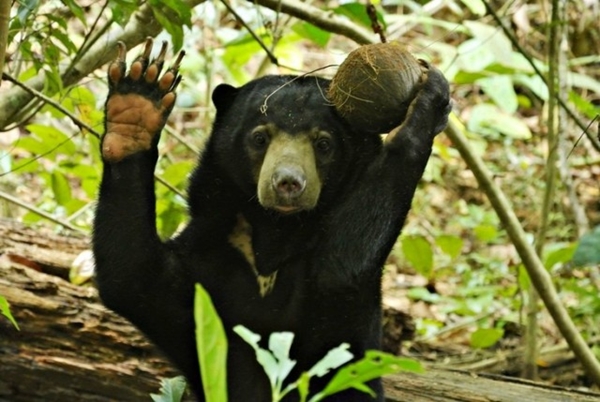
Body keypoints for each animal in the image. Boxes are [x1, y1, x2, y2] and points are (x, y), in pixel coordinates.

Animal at [94, 37, 450, 398]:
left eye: (324, 143)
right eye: (260, 137)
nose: (288, 183)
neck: (276, 230)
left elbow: (342, 266)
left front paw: (426, 102)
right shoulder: (210, 253)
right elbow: (133, 275)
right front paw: (137, 103)